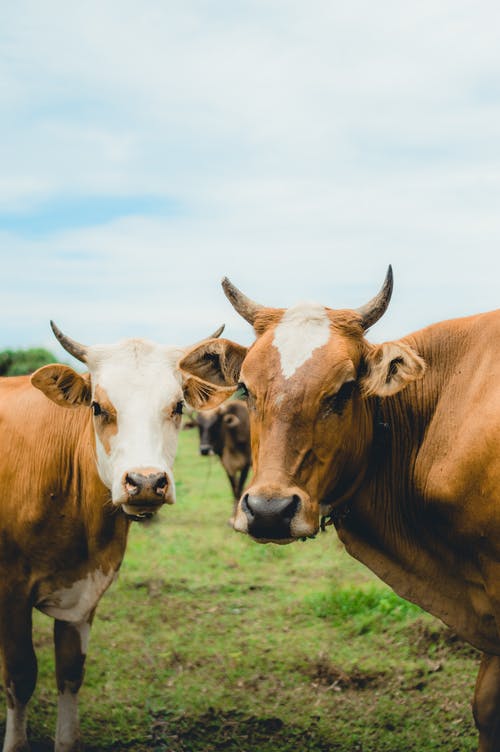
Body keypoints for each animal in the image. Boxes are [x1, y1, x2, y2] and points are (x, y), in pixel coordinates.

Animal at [0, 322, 230, 752]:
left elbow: (70, 675)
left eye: (177, 407)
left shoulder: (85, 594)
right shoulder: (10, 595)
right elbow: (20, 678)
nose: (146, 482)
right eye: (97, 407)